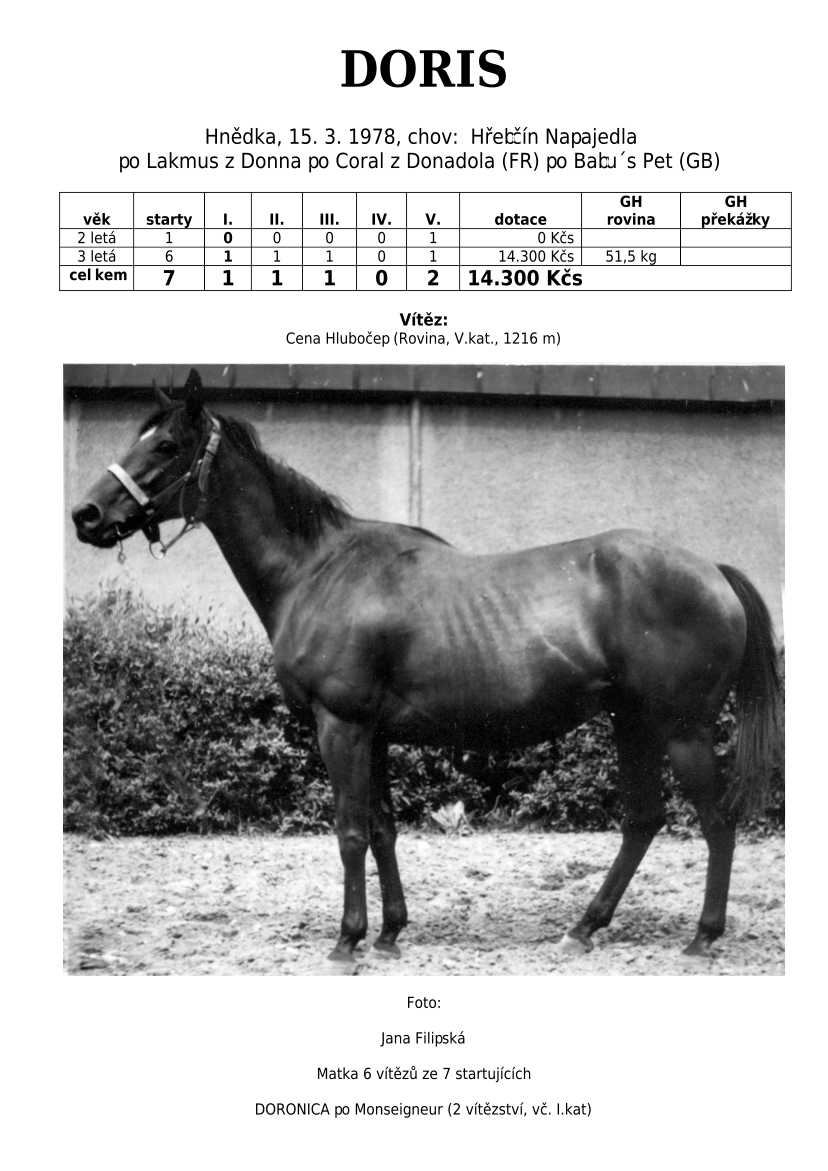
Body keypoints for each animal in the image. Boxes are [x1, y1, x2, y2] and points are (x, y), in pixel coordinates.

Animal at [71, 370, 781, 963]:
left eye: (166, 446)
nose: (87, 514)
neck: (318, 571)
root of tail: (713, 571)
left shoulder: (342, 726)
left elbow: (350, 831)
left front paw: (347, 941)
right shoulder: (375, 734)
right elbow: (383, 829)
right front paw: (389, 933)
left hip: (682, 729)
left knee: (716, 822)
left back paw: (701, 937)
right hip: (632, 723)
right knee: (642, 822)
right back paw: (584, 928)